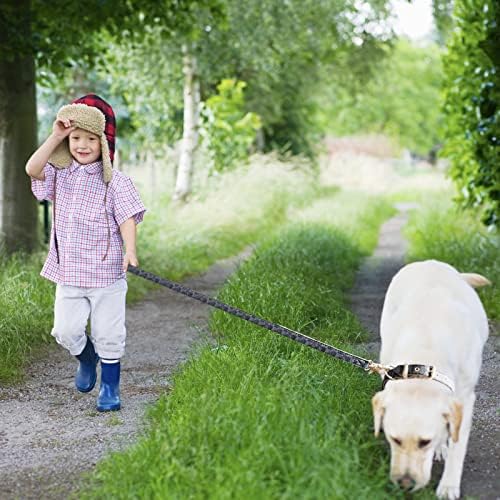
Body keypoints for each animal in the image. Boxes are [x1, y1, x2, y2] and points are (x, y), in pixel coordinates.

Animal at [374, 260, 490, 498]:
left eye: (424, 442)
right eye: (394, 439)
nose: (405, 484)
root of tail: (429, 262)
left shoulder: (465, 400)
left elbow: (457, 444)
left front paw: (448, 486)